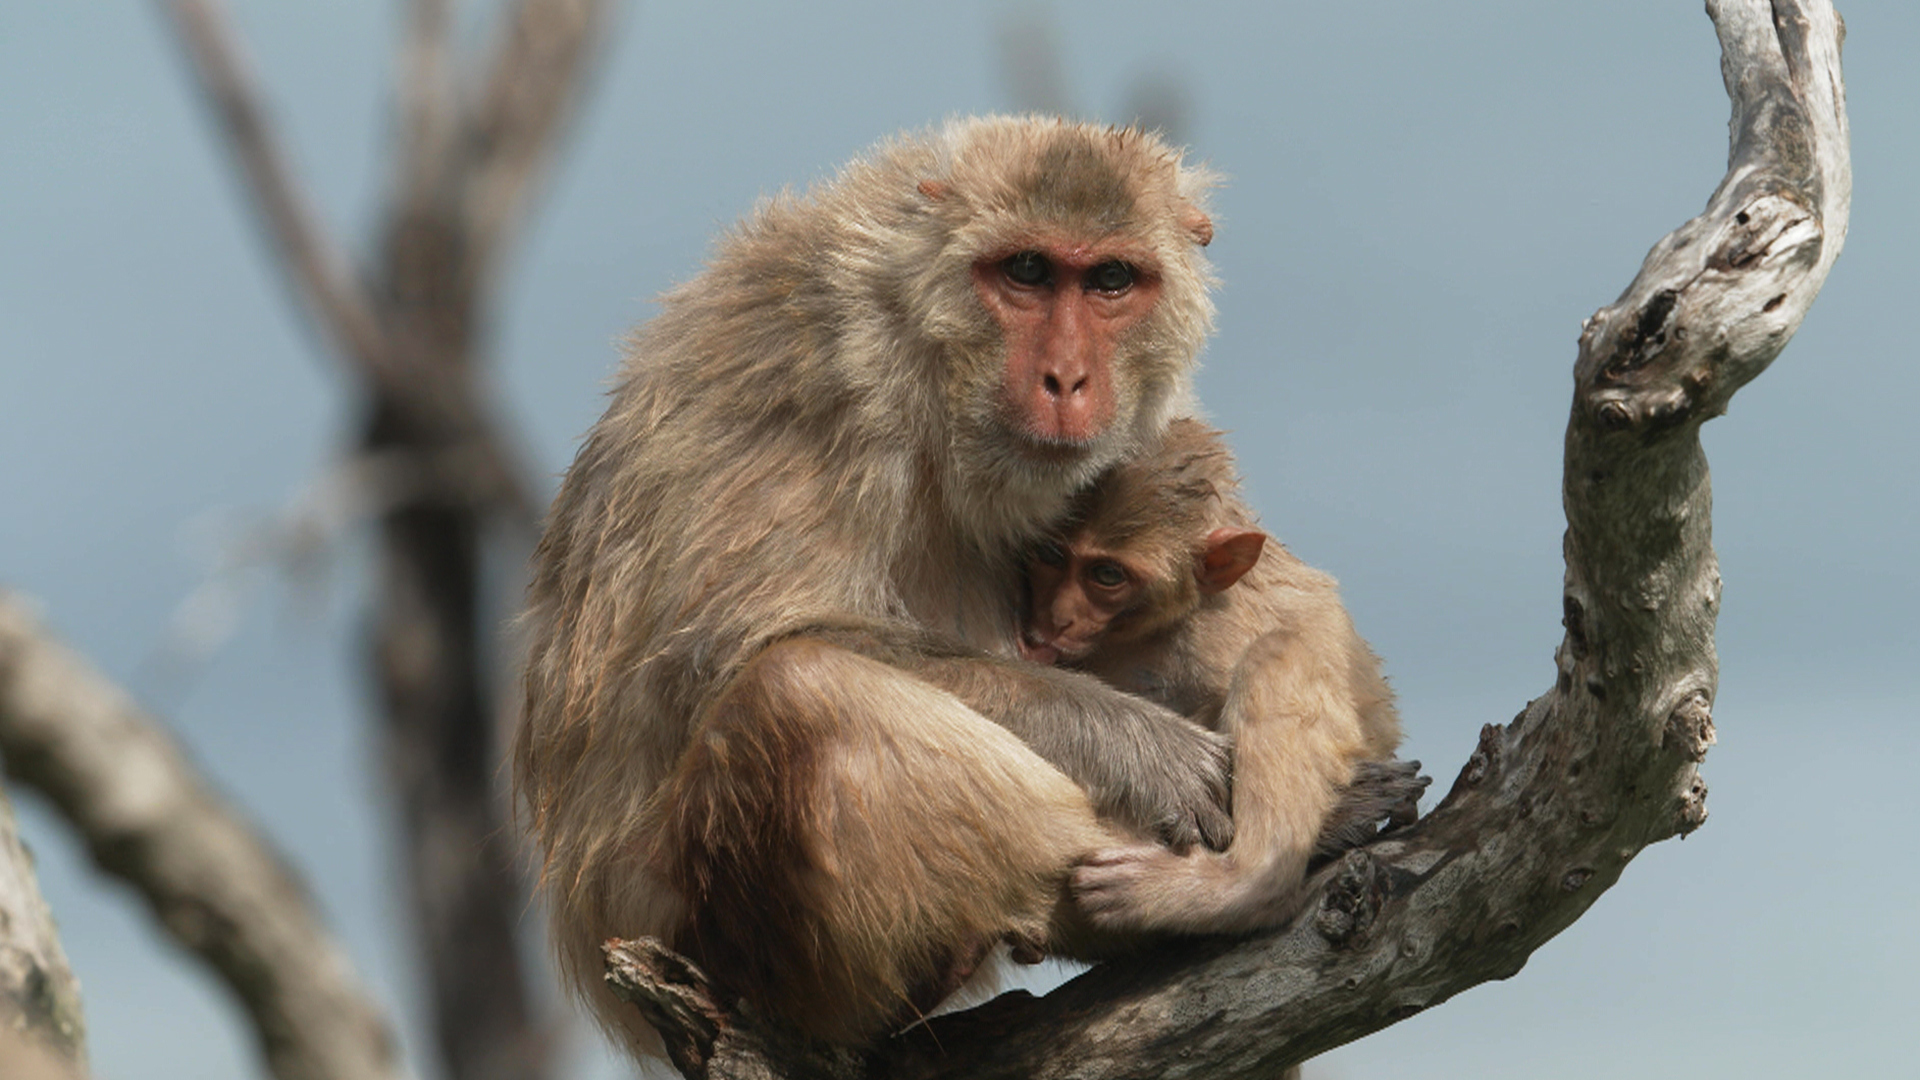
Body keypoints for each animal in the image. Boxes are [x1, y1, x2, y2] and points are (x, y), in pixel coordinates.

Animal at [514, 116, 1243, 1055]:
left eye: (1111, 279)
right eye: (1027, 271)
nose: (1067, 379)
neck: (926, 358)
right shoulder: (818, 379)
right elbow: (731, 651)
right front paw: (1141, 746)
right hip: (710, 936)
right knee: (797, 695)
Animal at [1018, 418, 1412, 934]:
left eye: (1106, 575)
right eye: (1050, 554)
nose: (1058, 617)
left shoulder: (1210, 638)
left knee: (1275, 656)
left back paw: (1244, 885)